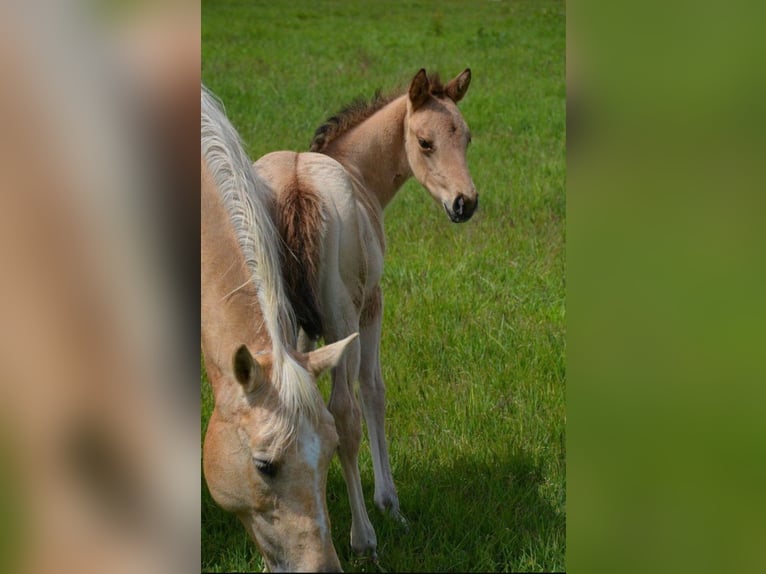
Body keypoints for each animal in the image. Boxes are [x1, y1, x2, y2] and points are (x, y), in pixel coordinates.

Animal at [253, 68, 477, 557]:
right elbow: (373, 392)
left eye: (467, 137)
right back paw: (363, 536)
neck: (356, 172)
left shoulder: (305, 332)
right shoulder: (371, 305)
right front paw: (389, 503)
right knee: (346, 412)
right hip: (344, 318)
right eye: (425, 142)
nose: (465, 204)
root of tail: (298, 188)